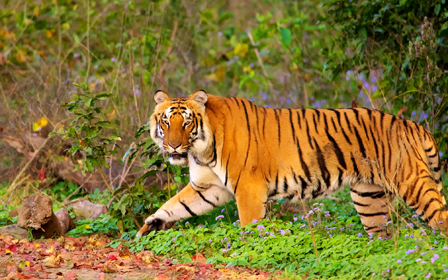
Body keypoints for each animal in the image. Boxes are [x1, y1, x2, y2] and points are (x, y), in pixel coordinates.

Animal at [136, 91, 444, 237]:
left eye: (187, 123)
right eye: (166, 121)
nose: (173, 146)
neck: (203, 149)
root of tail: (414, 125)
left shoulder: (248, 189)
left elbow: (249, 225)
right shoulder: (208, 187)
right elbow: (175, 205)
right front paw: (148, 226)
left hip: (412, 184)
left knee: (441, 218)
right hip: (370, 199)